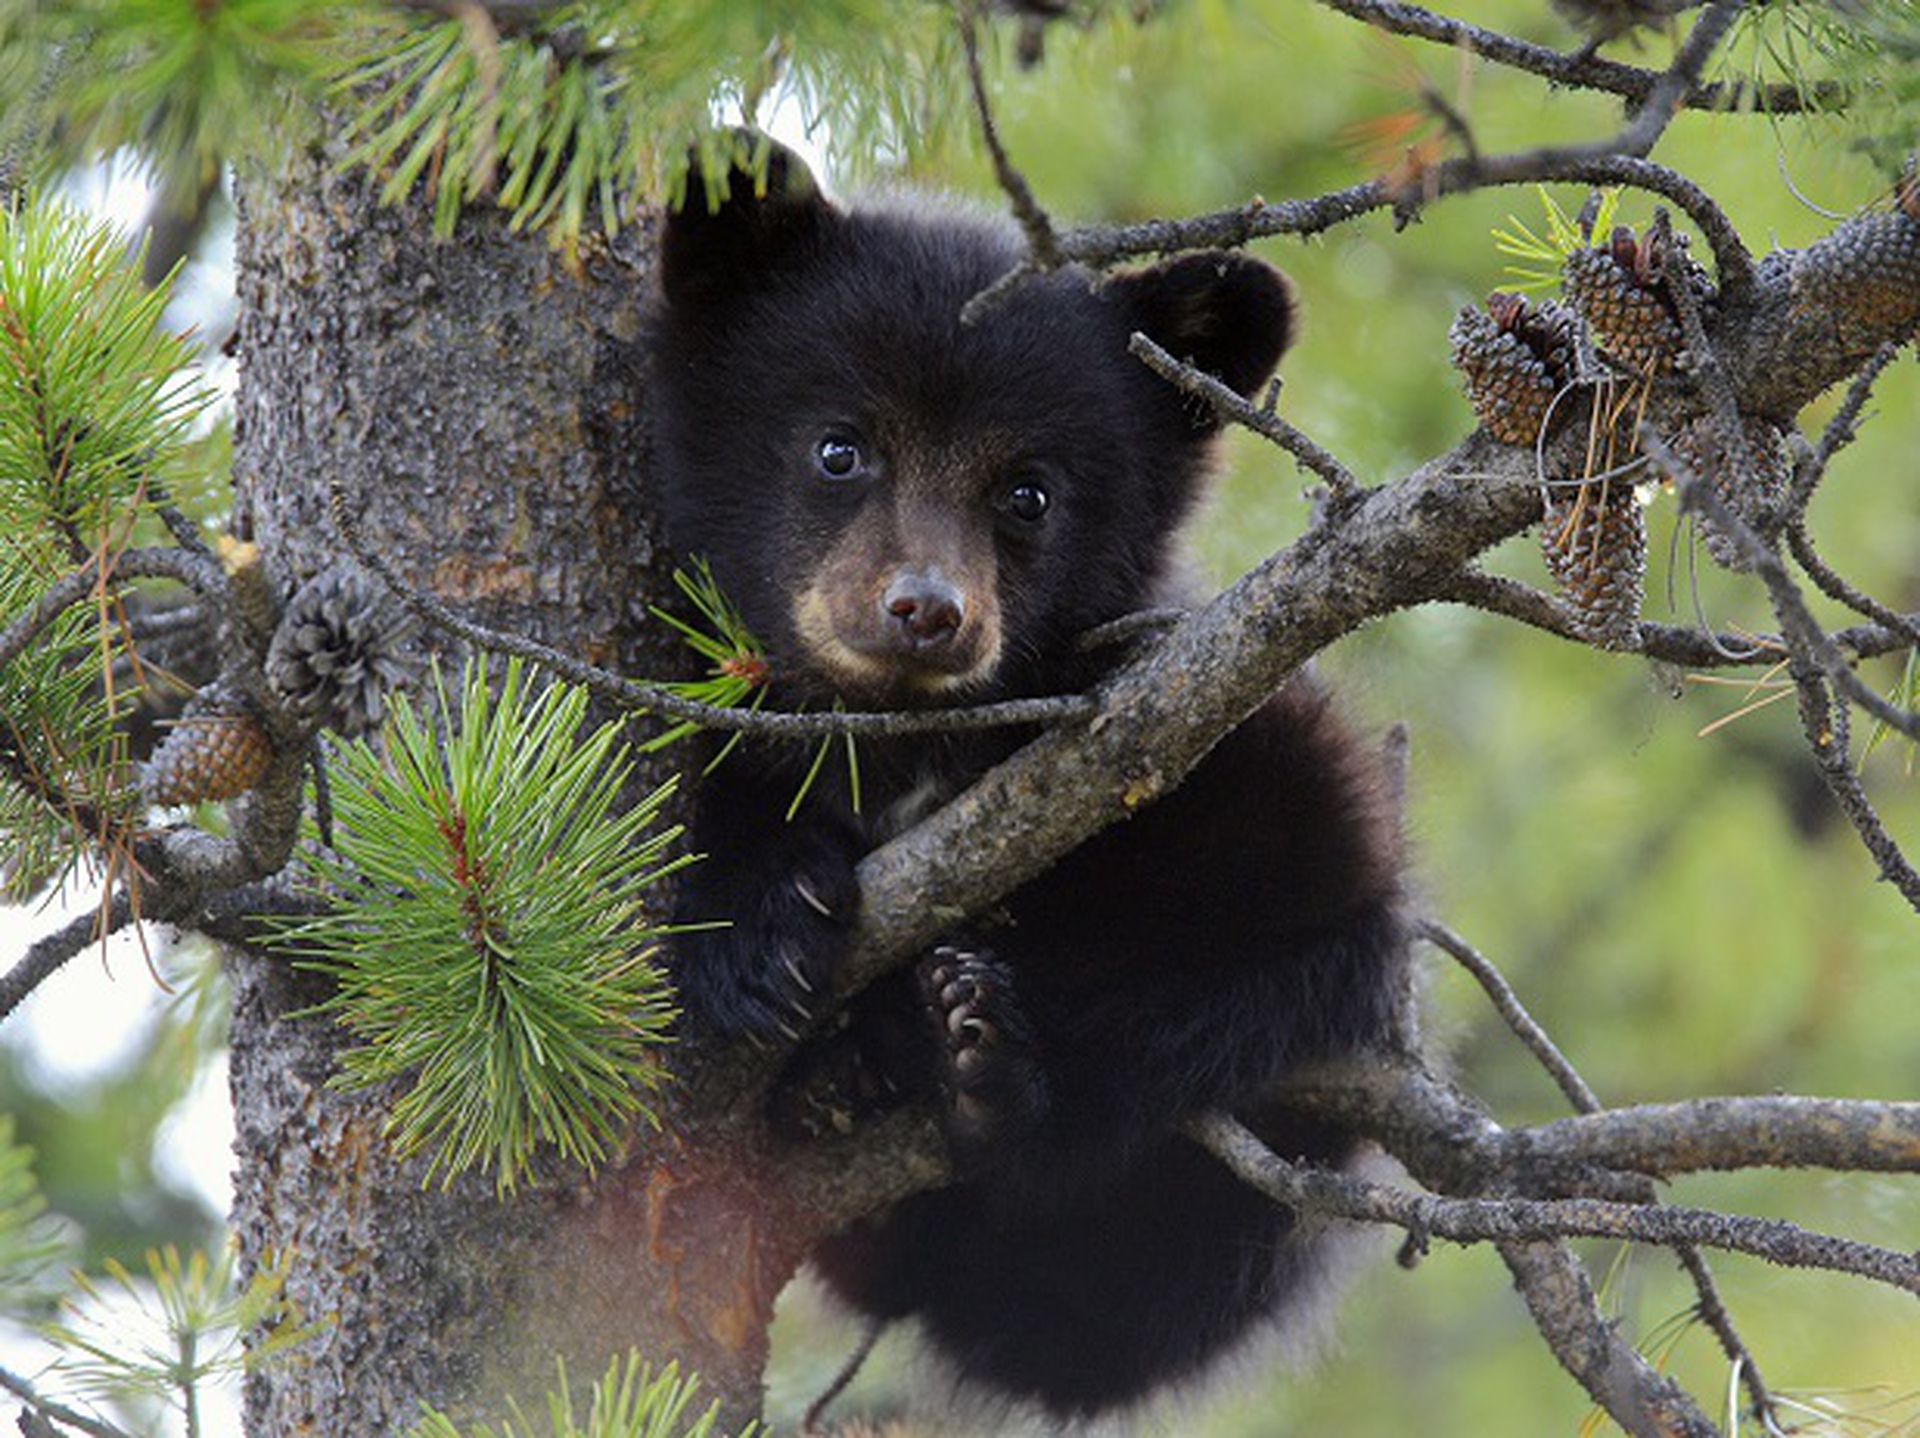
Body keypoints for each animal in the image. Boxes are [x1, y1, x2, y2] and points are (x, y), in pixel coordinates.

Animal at [646, 137, 1410, 1422]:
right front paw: (757, 922)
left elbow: (1287, 929)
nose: (925, 609)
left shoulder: (1217, 725)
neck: (908, 739)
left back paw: (982, 1061)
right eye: (839, 445)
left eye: (1029, 490)